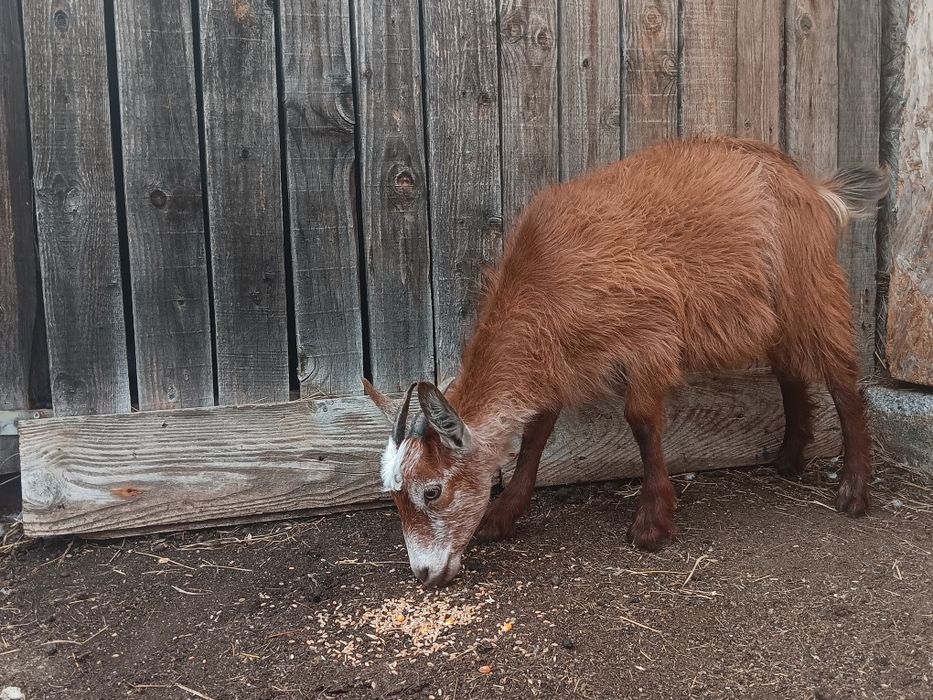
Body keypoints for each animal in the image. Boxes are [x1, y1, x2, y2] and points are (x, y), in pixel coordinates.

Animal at [364, 136, 889, 587]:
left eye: (432, 491)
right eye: (395, 497)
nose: (425, 574)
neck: (547, 275)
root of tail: (815, 189)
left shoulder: (649, 338)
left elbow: (640, 422)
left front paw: (651, 523)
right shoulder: (561, 356)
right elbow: (536, 435)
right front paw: (502, 514)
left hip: (810, 284)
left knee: (843, 379)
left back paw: (854, 490)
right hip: (773, 307)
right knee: (791, 372)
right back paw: (788, 459)